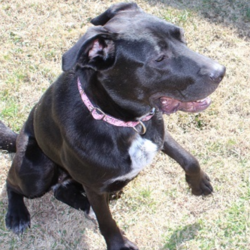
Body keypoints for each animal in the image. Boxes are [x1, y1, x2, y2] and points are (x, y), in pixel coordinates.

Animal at [0, 2, 226, 250]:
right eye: (159, 58)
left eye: (181, 36)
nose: (220, 71)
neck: (122, 121)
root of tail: (18, 137)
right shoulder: (94, 186)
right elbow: (106, 220)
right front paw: (119, 244)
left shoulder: (156, 130)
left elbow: (187, 157)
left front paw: (198, 183)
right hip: (37, 170)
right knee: (12, 183)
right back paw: (17, 215)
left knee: (62, 192)